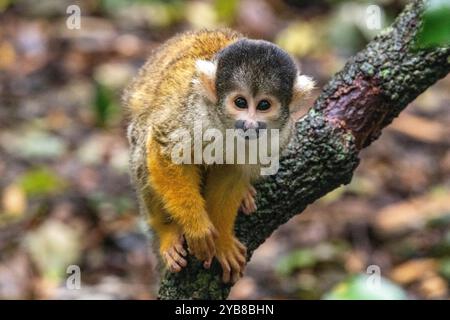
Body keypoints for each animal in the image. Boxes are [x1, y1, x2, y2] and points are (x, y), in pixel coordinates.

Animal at [121, 28, 314, 282]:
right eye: (240, 102)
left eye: (264, 105)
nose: (249, 124)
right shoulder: (193, 112)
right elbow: (163, 149)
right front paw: (197, 228)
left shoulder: (279, 135)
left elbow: (233, 173)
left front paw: (222, 240)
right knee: (143, 143)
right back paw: (167, 232)